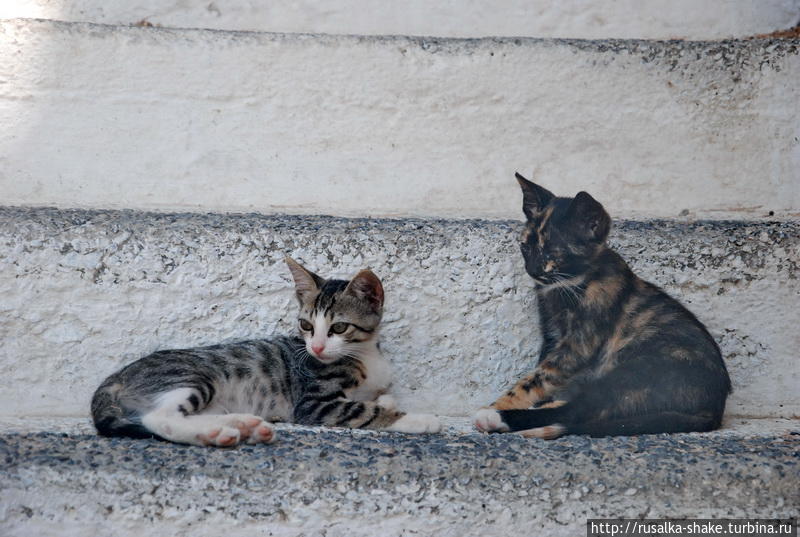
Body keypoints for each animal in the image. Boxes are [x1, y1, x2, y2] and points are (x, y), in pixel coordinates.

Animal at [94, 258, 444, 446]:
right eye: (306, 325)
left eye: (339, 327)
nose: (316, 347)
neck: (365, 354)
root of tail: (116, 376)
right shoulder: (314, 404)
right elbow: (364, 411)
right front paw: (417, 419)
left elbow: (377, 398)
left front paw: (386, 400)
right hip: (193, 376)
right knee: (157, 417)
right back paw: (212, 433)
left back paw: (241, 424)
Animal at [476, 174, 732, 438]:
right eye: (525, 247)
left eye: (552, 254)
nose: (532, 270)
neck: (571, 283)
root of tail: (715, 409)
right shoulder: (552, 336)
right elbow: (542, 373)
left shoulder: (578, 345)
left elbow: (537, 379)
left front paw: (500, 404)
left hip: (634, 371)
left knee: (579, 410)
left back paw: (496, 418)